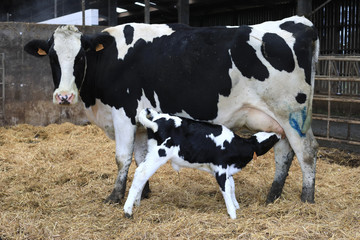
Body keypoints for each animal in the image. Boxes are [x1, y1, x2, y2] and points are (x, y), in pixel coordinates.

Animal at [23, 15, 320, 204]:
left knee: (306, 151)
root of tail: (299, 23)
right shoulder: (141, 122)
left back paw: (306, 199)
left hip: (292, 113)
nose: (64, 96)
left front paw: (115, 196)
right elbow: (140, 159)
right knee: (284, 153)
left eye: (80, 56)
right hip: (277, 119)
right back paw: (273, 196)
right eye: (52, 57)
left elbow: (122, 157)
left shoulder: (123, 113)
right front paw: (143, 192)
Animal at [124, 109, 282, 219]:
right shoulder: (220, 170)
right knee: (141, 173)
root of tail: (157, 119)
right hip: (159, 154)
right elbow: (226, 189)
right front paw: (232, 213)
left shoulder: (227, 170)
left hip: (152, 153)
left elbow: (232, 187)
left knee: (142, 175)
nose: (280, 133)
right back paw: (128, 211)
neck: (234, 145)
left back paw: (136, 203)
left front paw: (236, 206)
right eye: (270, 139)